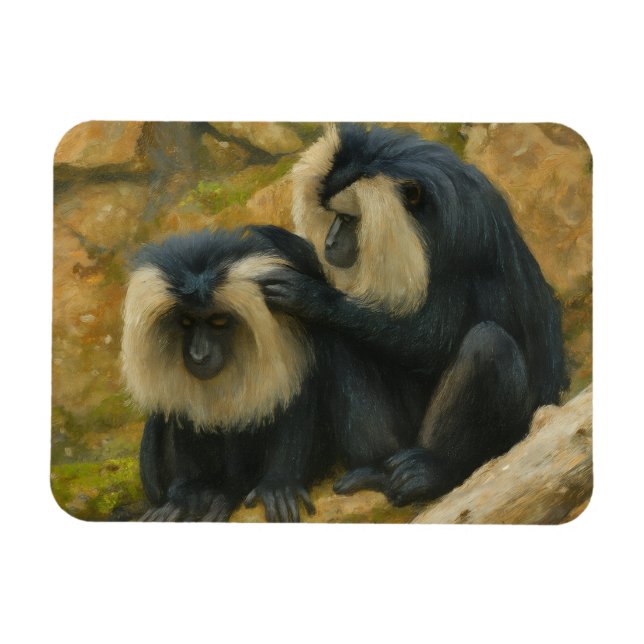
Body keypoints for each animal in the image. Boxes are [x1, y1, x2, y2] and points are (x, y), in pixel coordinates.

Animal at [257, 123, 568, 507]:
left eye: (348, 220)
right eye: (332, 217)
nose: (329, 243)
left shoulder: (458, 238)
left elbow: (431, 341)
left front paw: (311, 296)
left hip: (507, 431)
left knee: (489, 345)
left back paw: (434, 471)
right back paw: (376, 468)